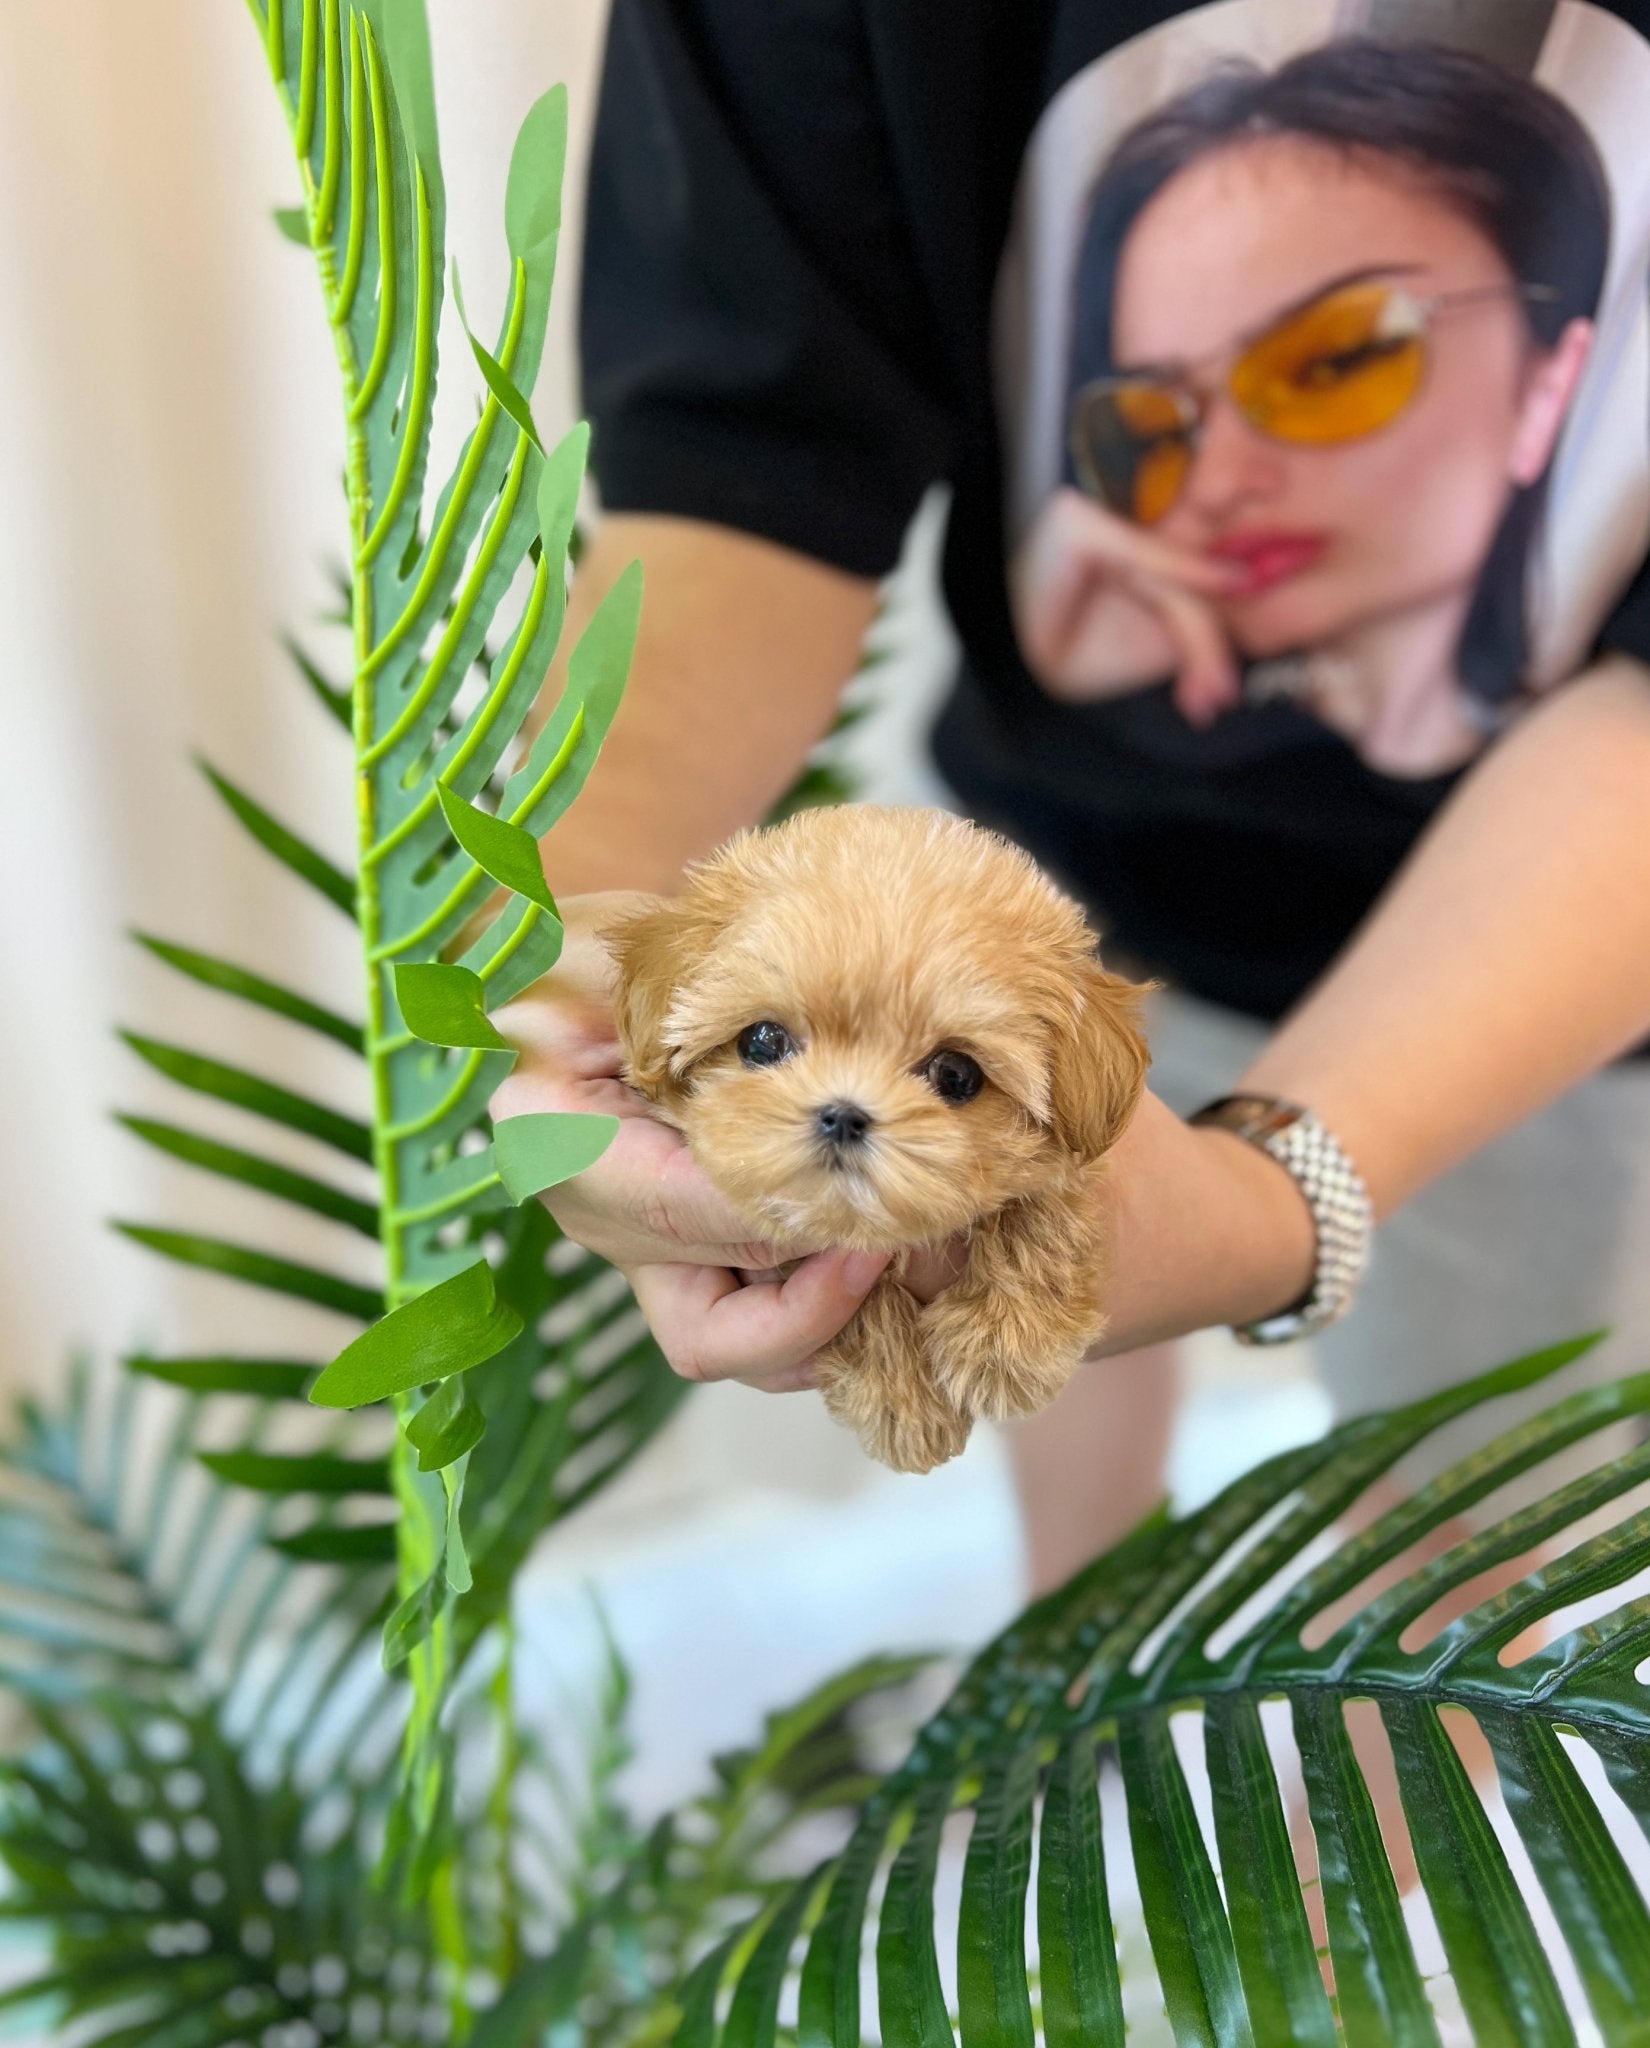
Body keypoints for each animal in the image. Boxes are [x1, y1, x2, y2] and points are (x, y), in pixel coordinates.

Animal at [605, 802, 1146, 1474]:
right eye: (763, 1041)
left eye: (956, 1075)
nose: (842, 1115)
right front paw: (902, 1401)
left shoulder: (1077, 1149)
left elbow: (1044, 1209)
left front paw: (1007, 1342)